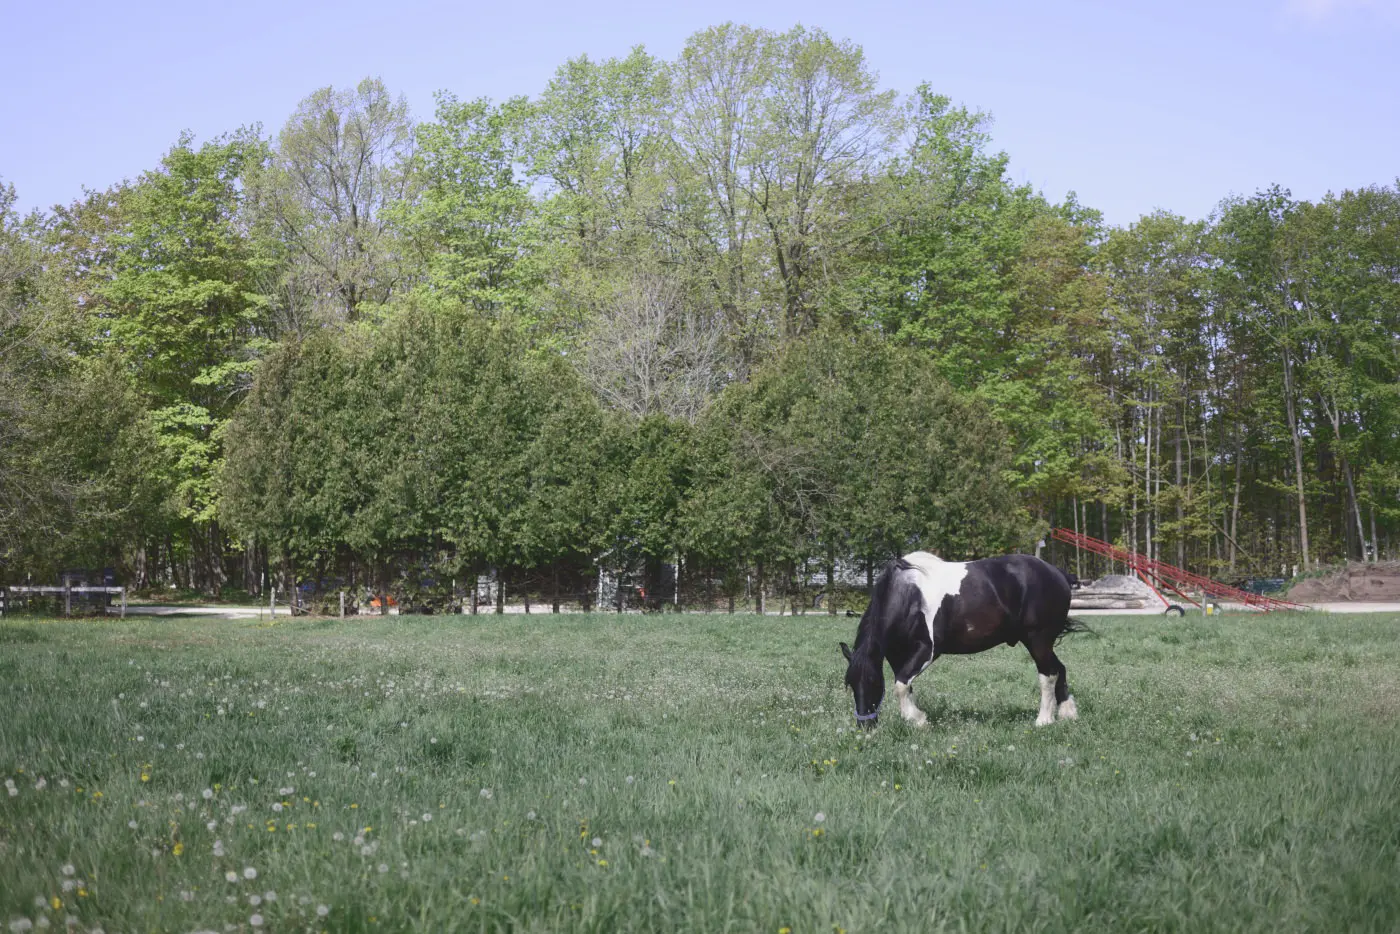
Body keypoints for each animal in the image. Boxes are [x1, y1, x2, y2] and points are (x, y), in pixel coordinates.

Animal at [840, 551, 1088, 729]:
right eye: (850, 684)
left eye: (873, 682)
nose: (865, 727)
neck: (909, 596)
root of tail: (1058, 573)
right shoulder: (896, 654)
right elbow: (904, 684)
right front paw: (915, 718)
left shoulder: (927, 651)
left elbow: (901, 685)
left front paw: (918, 719)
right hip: (1040, 642)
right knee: (1059, 668)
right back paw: (1068, 713)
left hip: (1037, 639)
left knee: (1049, 674)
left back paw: (1043, 720)